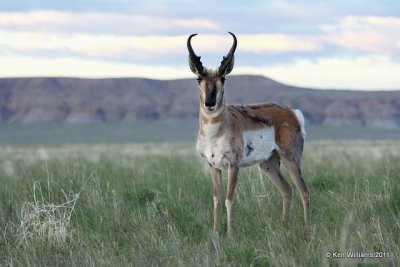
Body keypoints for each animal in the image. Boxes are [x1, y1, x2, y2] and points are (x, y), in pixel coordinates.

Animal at [188, 31, 310, 239]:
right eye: (198, 79)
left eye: (223, 79)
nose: (210, 103)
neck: (215, 134)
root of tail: (291, 113)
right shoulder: (213, 166)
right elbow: (216, 199)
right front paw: (215, 231)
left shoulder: (233, 166)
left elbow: (229, 199)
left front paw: (230, 234)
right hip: (268, 164)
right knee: (287, 190)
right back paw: (284, 226)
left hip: (290, 160)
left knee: (304, 191)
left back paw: (307, 230)